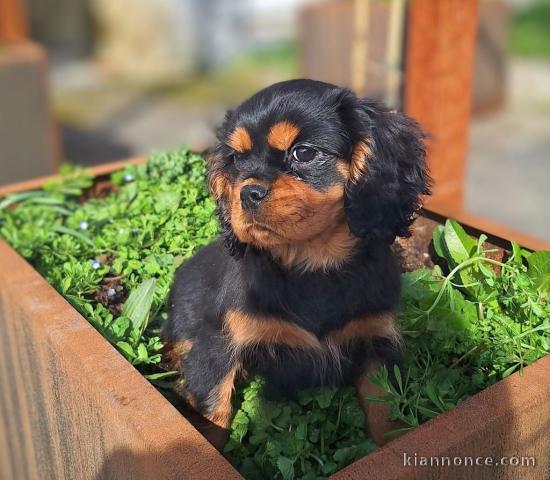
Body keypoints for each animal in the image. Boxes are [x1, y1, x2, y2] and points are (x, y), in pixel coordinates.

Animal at [163, 79, 432, 446]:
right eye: (235, 159)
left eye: (303, 153)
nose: (247, 193)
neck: (311, 263)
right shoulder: (217, 342)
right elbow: (212, 409)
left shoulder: (376, 335)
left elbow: (384, 406)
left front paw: (392, 442)